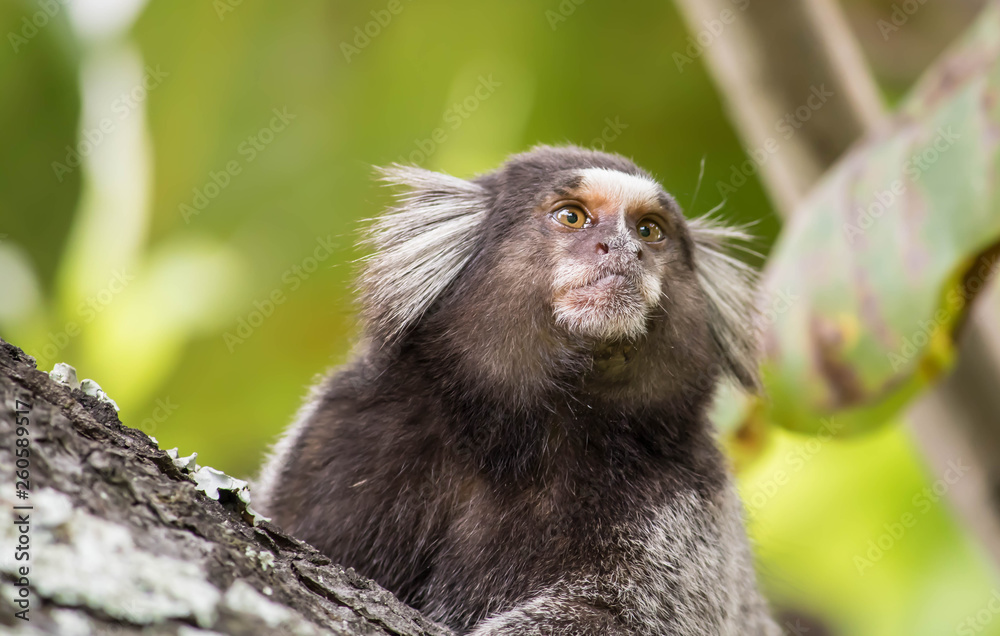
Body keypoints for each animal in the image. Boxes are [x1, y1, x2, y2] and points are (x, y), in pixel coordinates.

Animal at [254, 145, 781, 635]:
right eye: (572, 216)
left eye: (649, 230)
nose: (623, 249)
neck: (520, 435)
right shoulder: (348, 429)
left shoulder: (681, 498)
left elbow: (620, 615)